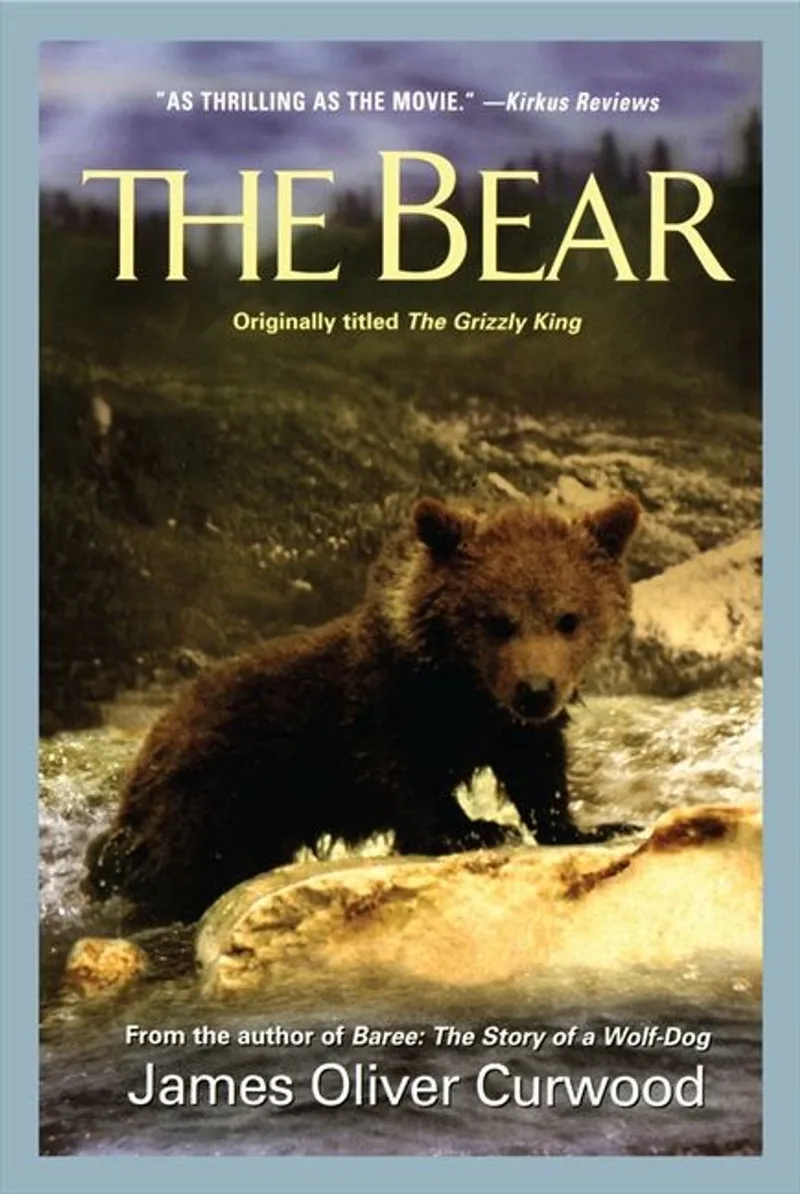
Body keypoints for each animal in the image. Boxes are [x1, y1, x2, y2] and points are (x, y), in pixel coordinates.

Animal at [84, 493, 641, 927]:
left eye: (568, 619)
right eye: (498, 621)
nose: (536, 689)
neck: (462, 689)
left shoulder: (510, 728)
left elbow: (538, 772)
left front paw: (595, 827)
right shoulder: (386, 708)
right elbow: (408, 781)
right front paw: (474, 828)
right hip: (212, 801)